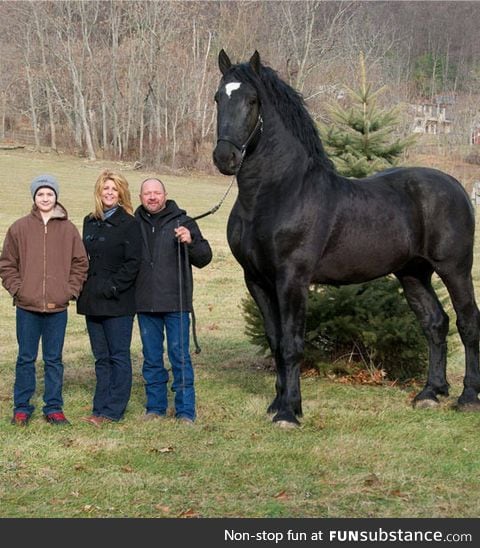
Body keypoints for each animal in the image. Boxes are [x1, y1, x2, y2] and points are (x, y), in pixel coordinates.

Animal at [213, 50, 480, 428]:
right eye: (219, 98)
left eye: (252, 100)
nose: (225, 158)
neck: (278, 192)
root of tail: (456, 186)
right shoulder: (257, 280)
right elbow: (276, 341)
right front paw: (278, 403)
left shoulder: (292, 279)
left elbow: (292, 343)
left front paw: (289, 412)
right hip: (413, 273)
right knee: (435, 324)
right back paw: (430, 393)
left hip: (454, 268)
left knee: (467, 322)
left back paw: (468, 397)